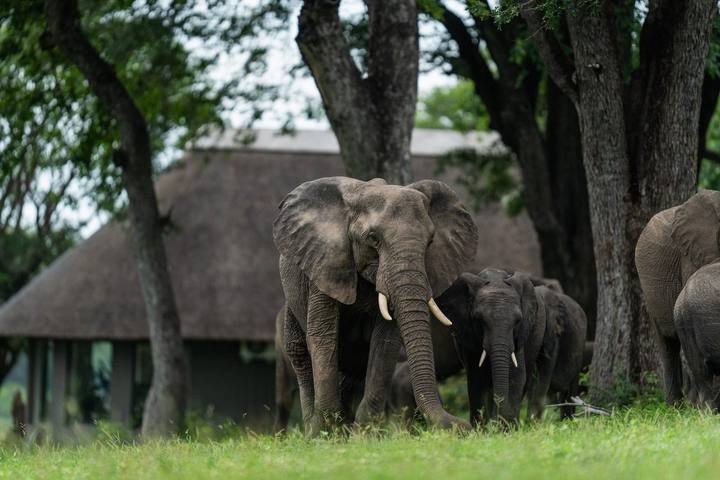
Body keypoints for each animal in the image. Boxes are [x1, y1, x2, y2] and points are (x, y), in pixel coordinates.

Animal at [273, 177, 479, 436]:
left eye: (430, 242)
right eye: (373, 238)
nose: (465, 426)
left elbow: (385, 341)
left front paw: (364, 434)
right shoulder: (327, 263)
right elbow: (322, 337)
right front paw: (325, 434)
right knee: (300, 354)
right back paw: (315, 430)